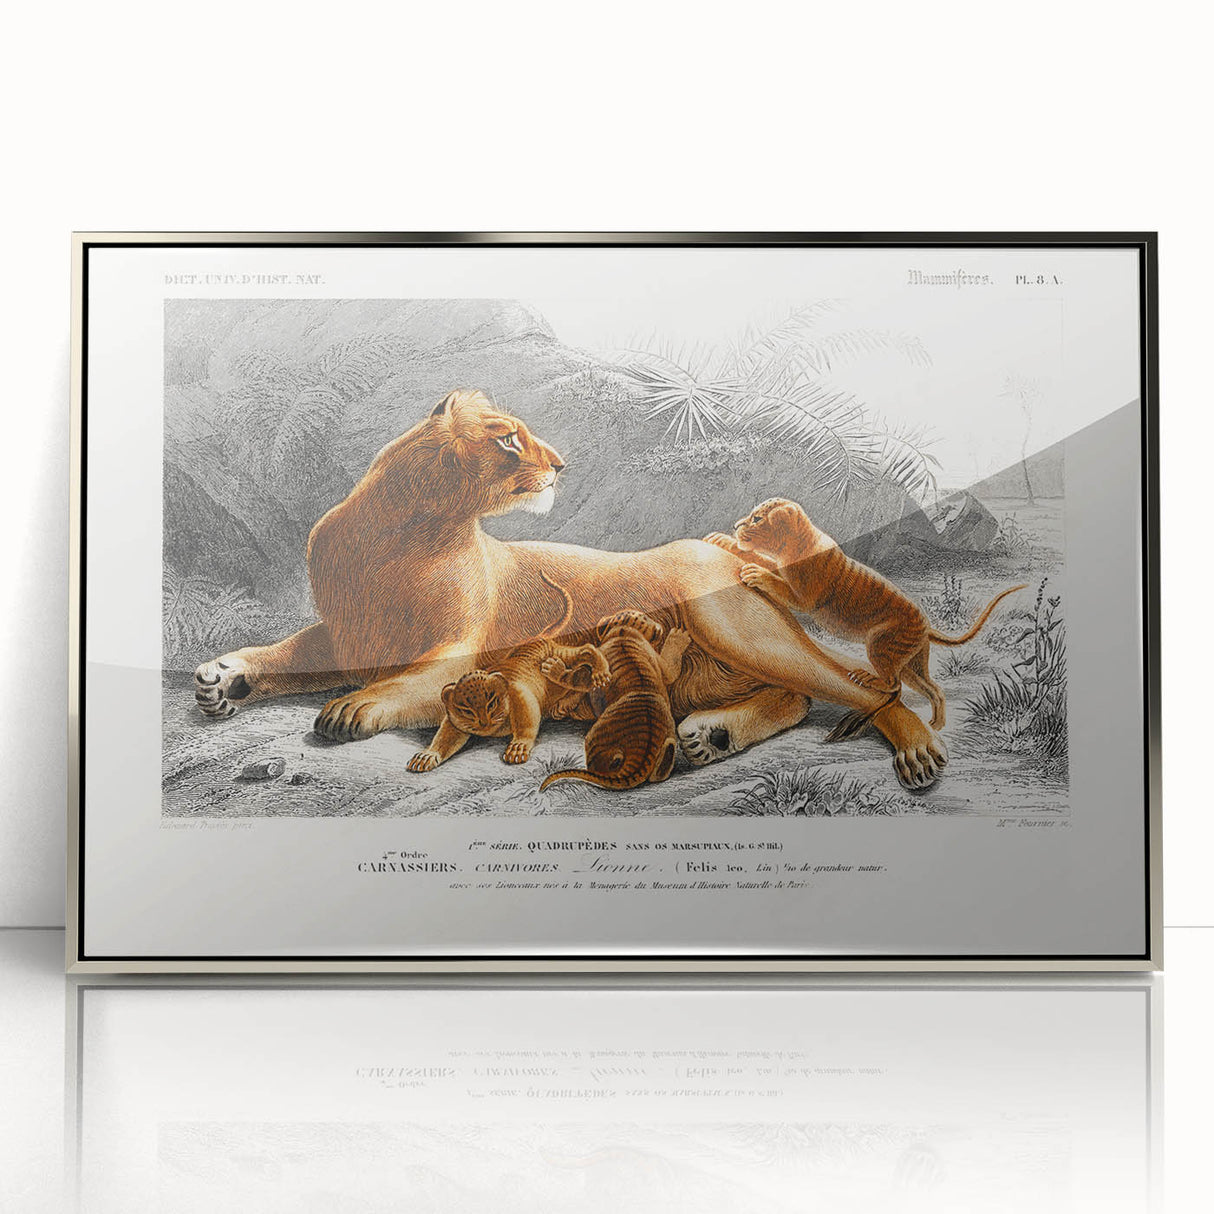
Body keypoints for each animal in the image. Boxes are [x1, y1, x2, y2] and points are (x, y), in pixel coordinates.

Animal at [193, 389, 948, 789]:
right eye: (507, 439)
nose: (560, 464)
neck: (401, 529)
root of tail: (721, 545)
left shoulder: (458, 649)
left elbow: (404, 680)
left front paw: (352, 708)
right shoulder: (350, 635)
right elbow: (289, 652)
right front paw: (225, 678)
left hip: (735, 627)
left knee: (853, 687)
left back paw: (914, 750)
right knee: (797, 695)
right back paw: (711, 736)